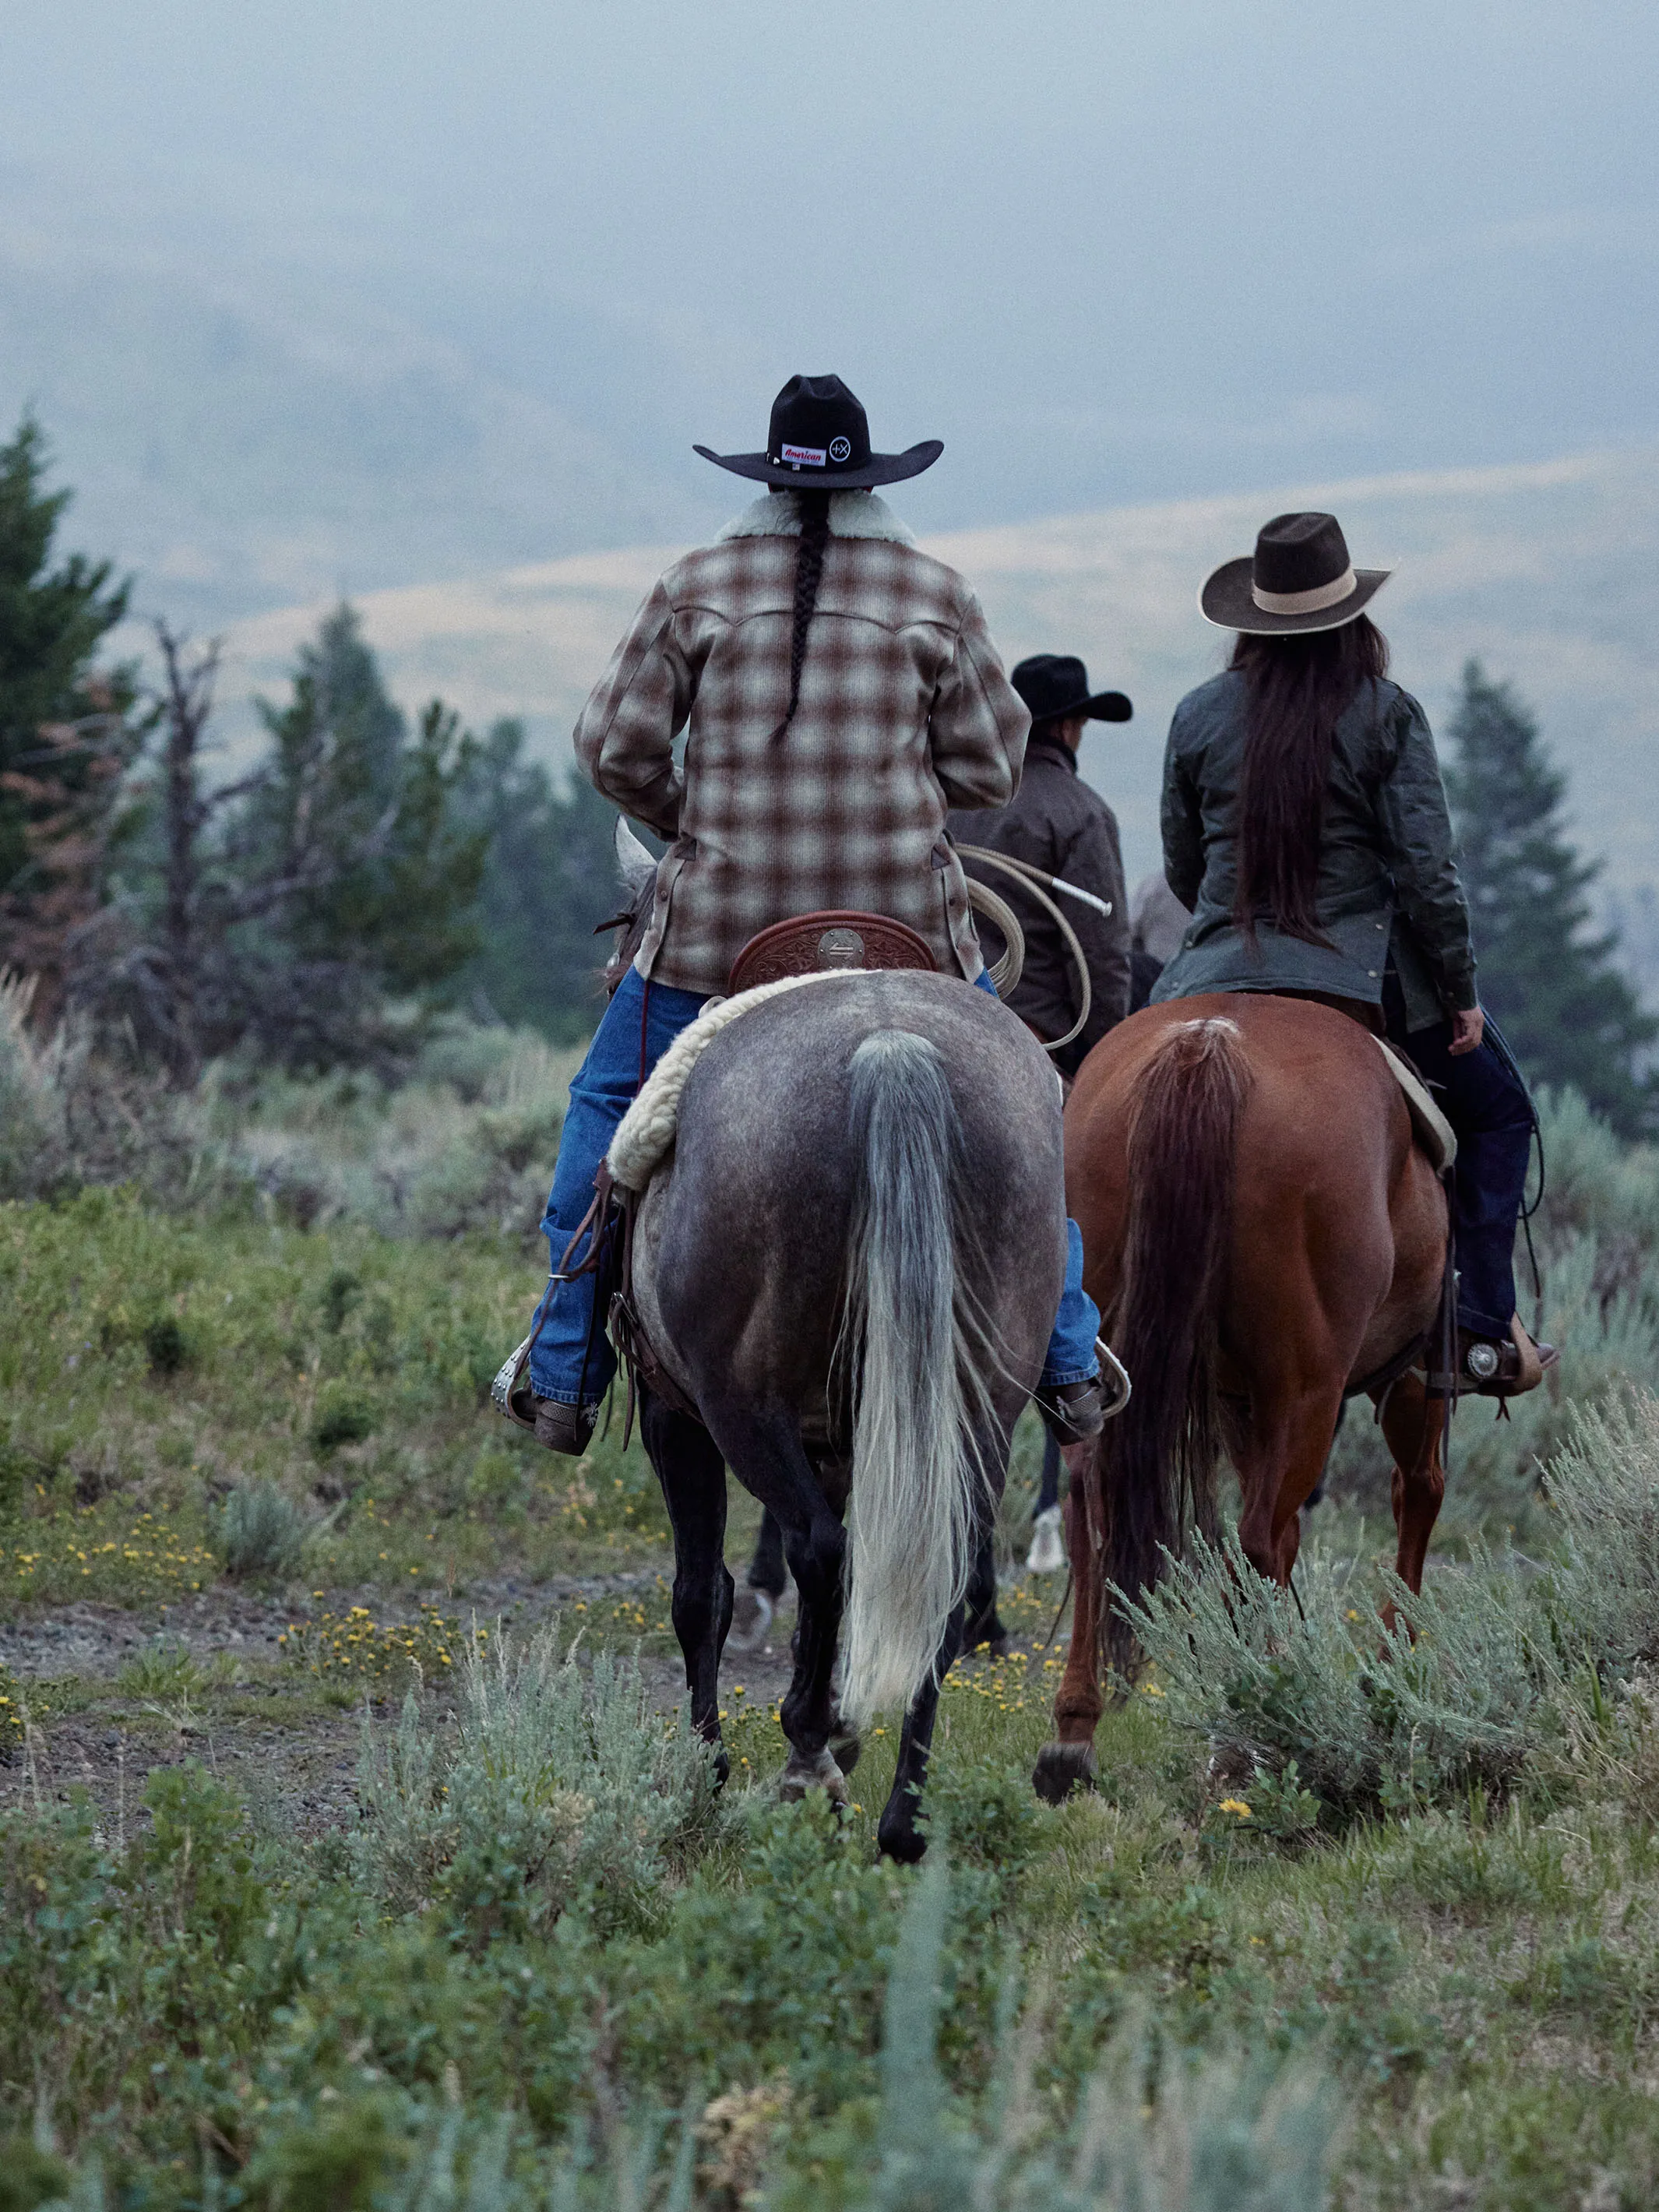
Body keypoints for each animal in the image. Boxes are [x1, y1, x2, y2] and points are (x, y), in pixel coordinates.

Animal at [606, 831, 1065, 1849]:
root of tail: (888, 1048)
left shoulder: (672, 1413)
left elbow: (701, 1591)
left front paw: (710, 1768)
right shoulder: (851, 1437)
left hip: (741, 1405)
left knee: (819, 1549)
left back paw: (808, 1755)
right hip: (981, 1398)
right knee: (938, 1568)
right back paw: (902, 1813)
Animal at [1039, 991, 1451, 1796]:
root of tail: (1207, 1043)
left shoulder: (1239, 1403)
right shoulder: (1415, 1372)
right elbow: (1415, 1490)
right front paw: (1394, 1662)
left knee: (1092, 1516)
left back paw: (1075, 1736)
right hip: (1309, 1390)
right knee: (1258, 1536)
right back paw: (1254, 1727)